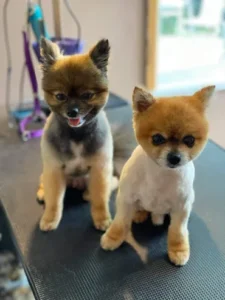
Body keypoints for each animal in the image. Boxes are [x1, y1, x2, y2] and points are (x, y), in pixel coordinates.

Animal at [36, 38, 123, 232]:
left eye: (87, 95)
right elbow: (54, 201)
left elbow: (100, 198)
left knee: (112, 183)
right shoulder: (53, 170)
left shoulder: (100, 169)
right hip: (46, 173)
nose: (72, 111)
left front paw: (102, 218)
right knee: (43, 182)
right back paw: (42, 192)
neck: (76, 134)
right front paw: (50, 218)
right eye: (60, 96)